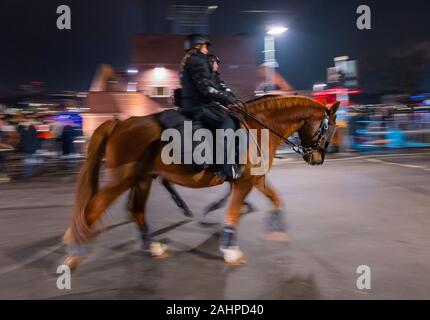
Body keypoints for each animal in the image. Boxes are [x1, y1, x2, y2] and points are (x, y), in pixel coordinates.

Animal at [63, 95, 340, 268]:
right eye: (328, 128)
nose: (317, 158)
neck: (259, 127)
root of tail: (120, 123)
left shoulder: (256, 178)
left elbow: (276, 198)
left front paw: (276, 226)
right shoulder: (244, 182)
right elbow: (232, 213)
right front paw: (231, 250)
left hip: (142, 179)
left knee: (136, 210)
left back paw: (152, 246)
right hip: (124, 179)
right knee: (93, 208)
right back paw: (75, 253)